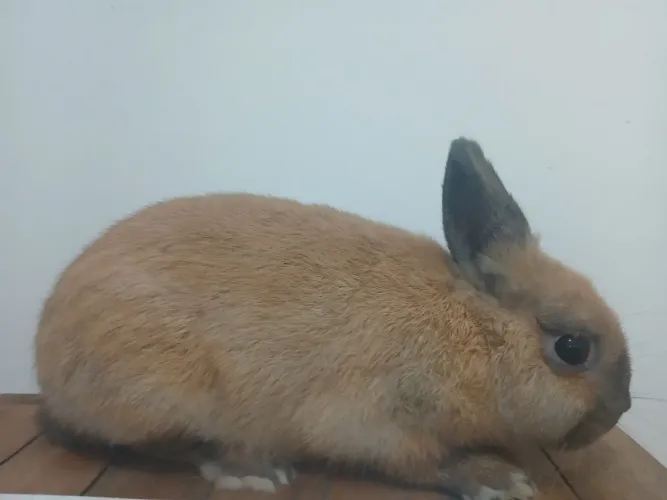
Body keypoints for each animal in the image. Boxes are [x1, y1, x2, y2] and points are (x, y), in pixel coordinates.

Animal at [34, 138, 631, 500]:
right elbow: (425, 462)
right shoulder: (378, 420)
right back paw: (253, 470)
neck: (473, 334)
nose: (620, 409)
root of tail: (45, 360)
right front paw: (499, 479)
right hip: (161, 392)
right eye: (572, 348)